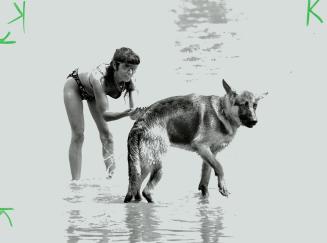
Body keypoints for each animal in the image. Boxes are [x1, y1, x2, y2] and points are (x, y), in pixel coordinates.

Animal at [124, 80, 268, 203]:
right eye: (243, 104)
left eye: (255, 106)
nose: (255, 121)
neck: (222, 111)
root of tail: (140, 124)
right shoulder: (202, 147)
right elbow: (220, 167)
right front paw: (223, 186)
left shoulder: (210, 153)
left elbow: (206, 176)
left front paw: (205, 198)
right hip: (158, 166)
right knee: (146, 191)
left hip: (144, 166)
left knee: (135, 189)